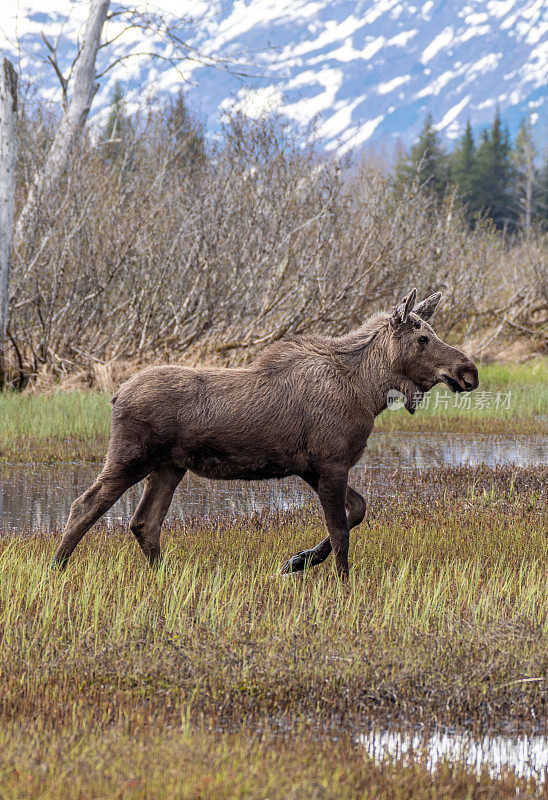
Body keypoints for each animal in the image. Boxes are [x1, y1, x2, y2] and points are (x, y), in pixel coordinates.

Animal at [52, 290, 480, 580]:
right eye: (422, 338)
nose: (469, 371)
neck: (369, 390)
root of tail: (116, 394)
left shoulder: (313, 467)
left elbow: (357, 510)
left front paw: (299, 560)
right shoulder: (331, 462)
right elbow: (341, 528)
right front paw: (341, 581)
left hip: (169, 467)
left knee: (144, 522)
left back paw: (162, 575)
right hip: (131, 456)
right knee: (85, 505)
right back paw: (56, 569)